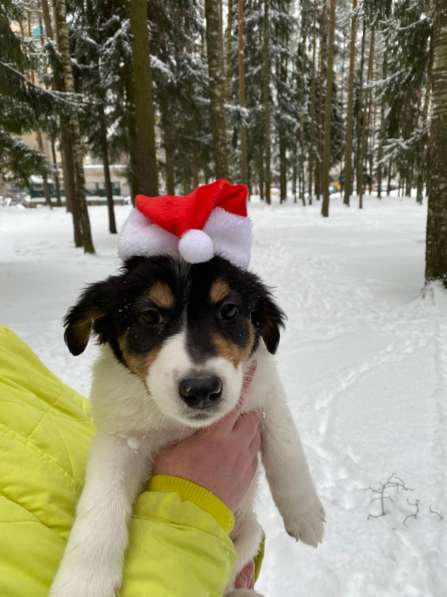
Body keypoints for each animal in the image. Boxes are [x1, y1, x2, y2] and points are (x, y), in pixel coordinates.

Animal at [50, 253, 326, 596]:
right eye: (150, 316)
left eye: (229, 310)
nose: (202, 390)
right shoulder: (120, 437)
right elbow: (102, 502)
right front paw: (83, 581)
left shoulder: (265, 394)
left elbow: (286, 449)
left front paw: (306, 515)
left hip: (249, 534)